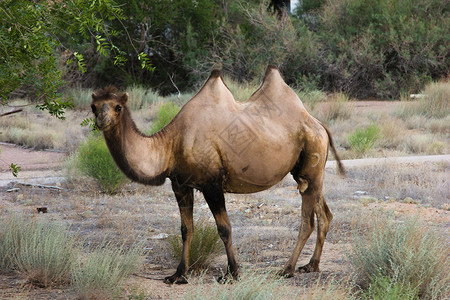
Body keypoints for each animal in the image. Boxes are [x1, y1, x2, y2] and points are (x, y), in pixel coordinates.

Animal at [90, 65, 344, 284]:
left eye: (117, 107)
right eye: (94, 106)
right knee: (324, 214)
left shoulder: (211, 183)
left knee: (307, 221)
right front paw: (178, 275)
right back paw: (311, 265)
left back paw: (287, 269)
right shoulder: (180, 184)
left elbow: (224, 228)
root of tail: (319, 123)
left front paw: (232, 273)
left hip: (312, 158)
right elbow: (186, 229)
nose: (102, 121)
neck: (171, 145)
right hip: (307, 173)